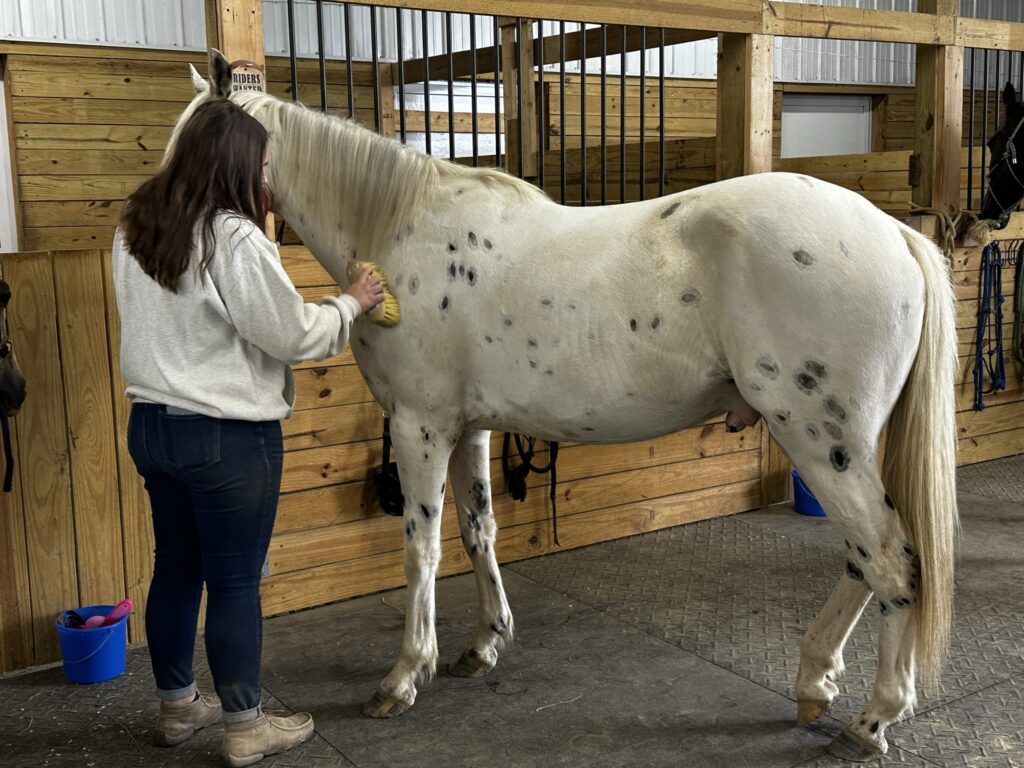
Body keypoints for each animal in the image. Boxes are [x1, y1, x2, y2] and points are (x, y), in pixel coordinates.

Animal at [174, 50, 958, 763]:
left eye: (192, 153)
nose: (166, 249)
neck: (402, 231)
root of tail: (895, 233)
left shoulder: (420, 427)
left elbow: (420, 549)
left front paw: (403, 677)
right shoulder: (469, 430)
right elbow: (477, 533)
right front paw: (481, 646)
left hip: (822, 440)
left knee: (889, 562)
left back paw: (872, 719)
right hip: (844, 445)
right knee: (861, 559)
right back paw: (816, 681)